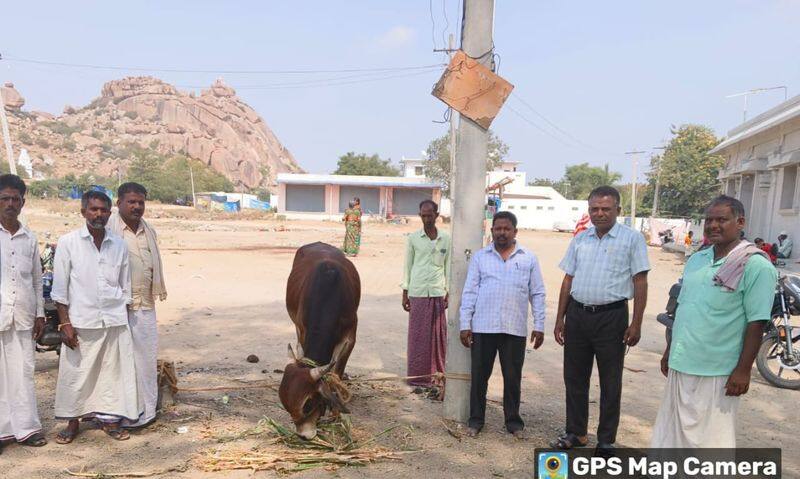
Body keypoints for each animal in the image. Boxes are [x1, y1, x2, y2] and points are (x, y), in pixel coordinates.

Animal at [278, 242, 360, 440]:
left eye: (307, 404)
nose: (303, 436)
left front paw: (336, 415)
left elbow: (337, 373)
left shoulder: (351, 336)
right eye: (285, 404)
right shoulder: (302, 328)